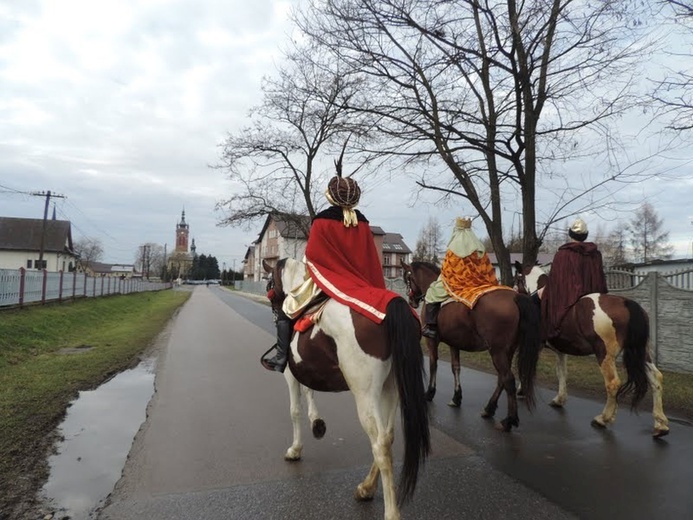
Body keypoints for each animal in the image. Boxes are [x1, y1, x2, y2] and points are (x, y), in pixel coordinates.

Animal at [264, 256, 430, 520]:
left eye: (269, 282)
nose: (275, 308)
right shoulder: (306, 370)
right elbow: (310, 392)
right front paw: (317, 423)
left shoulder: (291, 374)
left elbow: (294, 411)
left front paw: (295, 449)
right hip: (390, 389)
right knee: (387, 436)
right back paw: (366, 488)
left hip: (365, 395)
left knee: (380, 445)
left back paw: (390, 511)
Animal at [400, 258, 540, 430]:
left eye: (407, 278)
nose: (411, 301)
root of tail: (515, 297)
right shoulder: (454, 342)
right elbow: (456, 368)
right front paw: (456, 397)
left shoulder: (432, 341)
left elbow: (433, 365)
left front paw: (430, 393)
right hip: (508, 351)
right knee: (502, 379)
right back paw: (489, 409)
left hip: (498, 351)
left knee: (508, 379)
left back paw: (509, 420)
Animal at [510, 262, 668, 436]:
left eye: (516, 278)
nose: (513, 292)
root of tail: (627, 304)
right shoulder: (561, 351)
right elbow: (561, 372)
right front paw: (560, 399)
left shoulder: (535, 345)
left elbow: (524, 366)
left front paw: (522, 389)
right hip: (641, 353)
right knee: (656, 378)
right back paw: (660, 424)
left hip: (604, 354)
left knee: (613, 384)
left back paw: (603, 418)